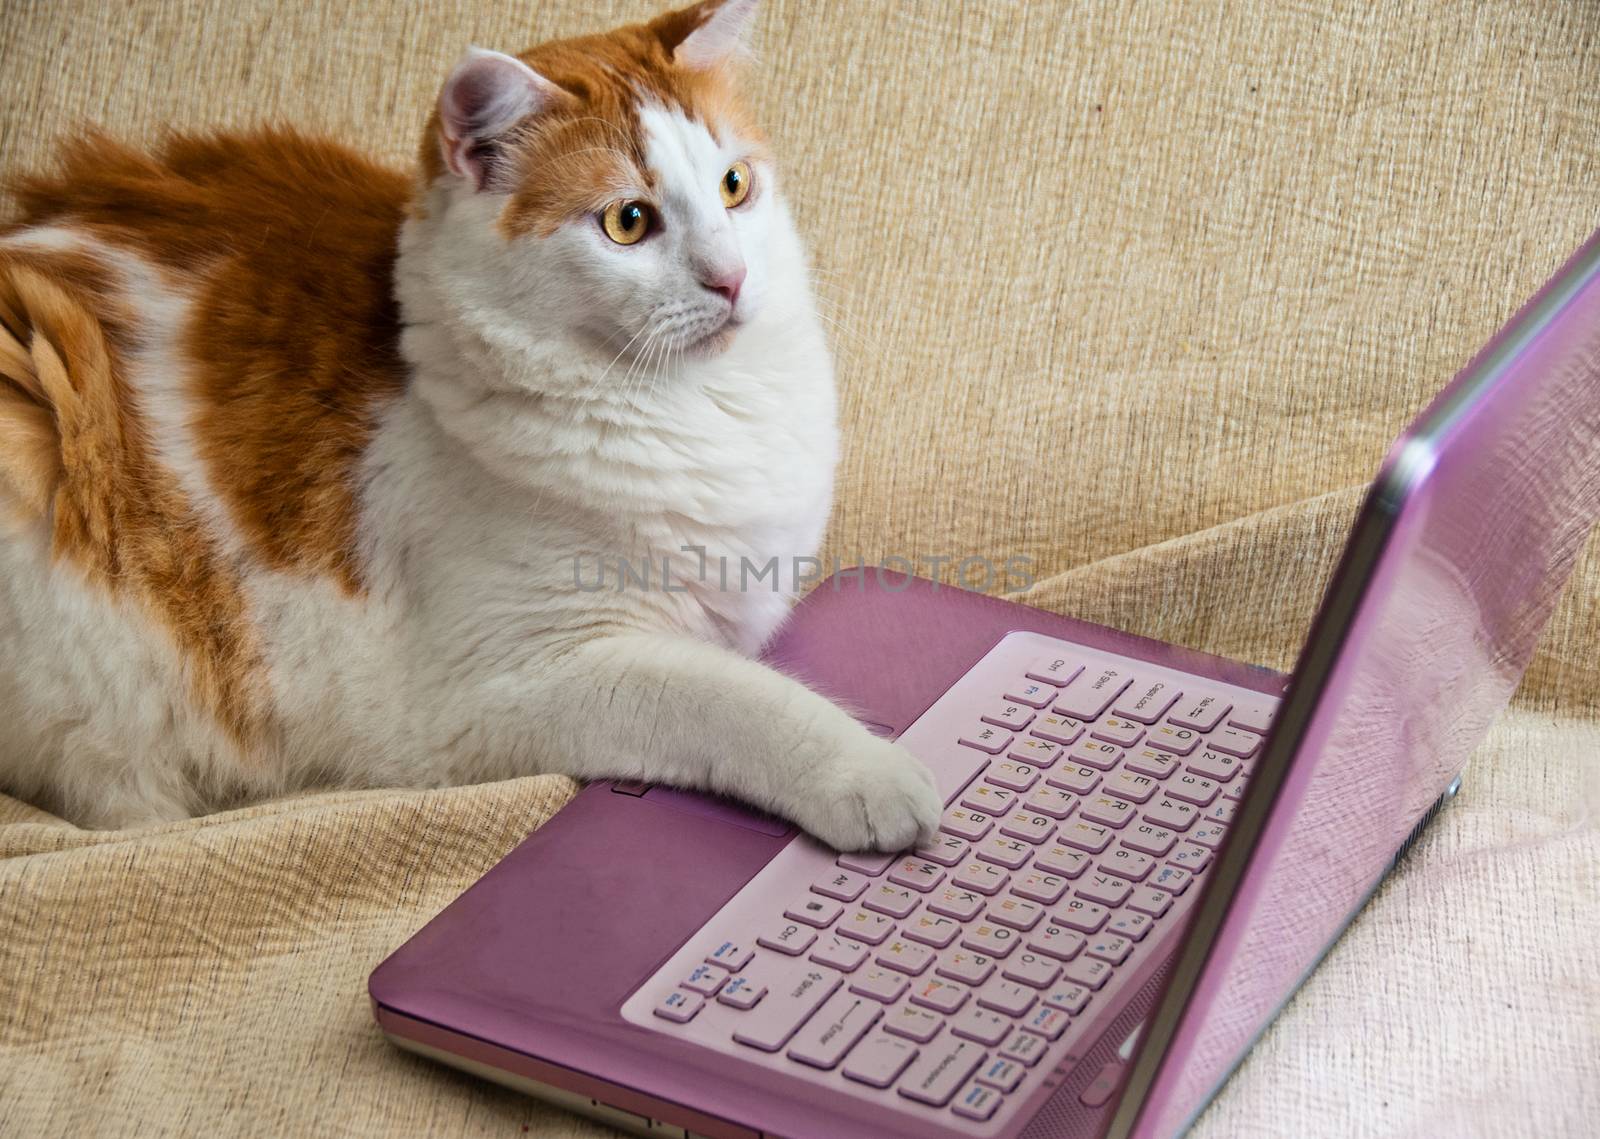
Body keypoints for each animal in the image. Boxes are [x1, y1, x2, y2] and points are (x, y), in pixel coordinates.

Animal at [0, 0, 940, 851]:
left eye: (734, 187)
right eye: (629, 221)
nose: (732, 277)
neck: (697, 410)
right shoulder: (497, 687)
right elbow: (737, 698)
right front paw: (871, 773)